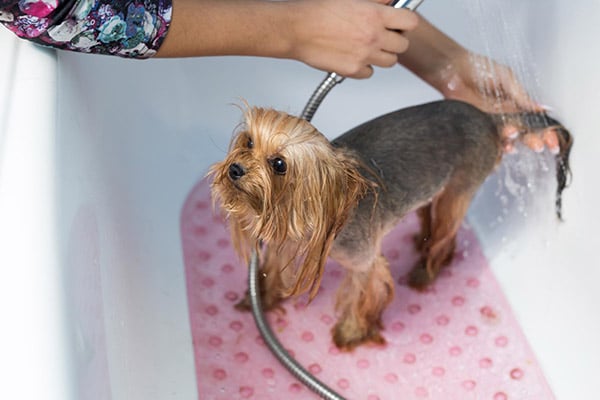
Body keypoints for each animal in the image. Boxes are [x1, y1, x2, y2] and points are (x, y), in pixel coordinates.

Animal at [210, 100, 572, 350]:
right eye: (248, 142)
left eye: (279, 164)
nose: (235, 170)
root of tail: (489, 118)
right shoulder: (283, 241)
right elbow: (271, 272)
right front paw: (259, 300)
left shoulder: (364, 262)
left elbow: (363, 295)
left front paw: (351, 333)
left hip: (460, 187)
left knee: (447, 233)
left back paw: (424, 272)